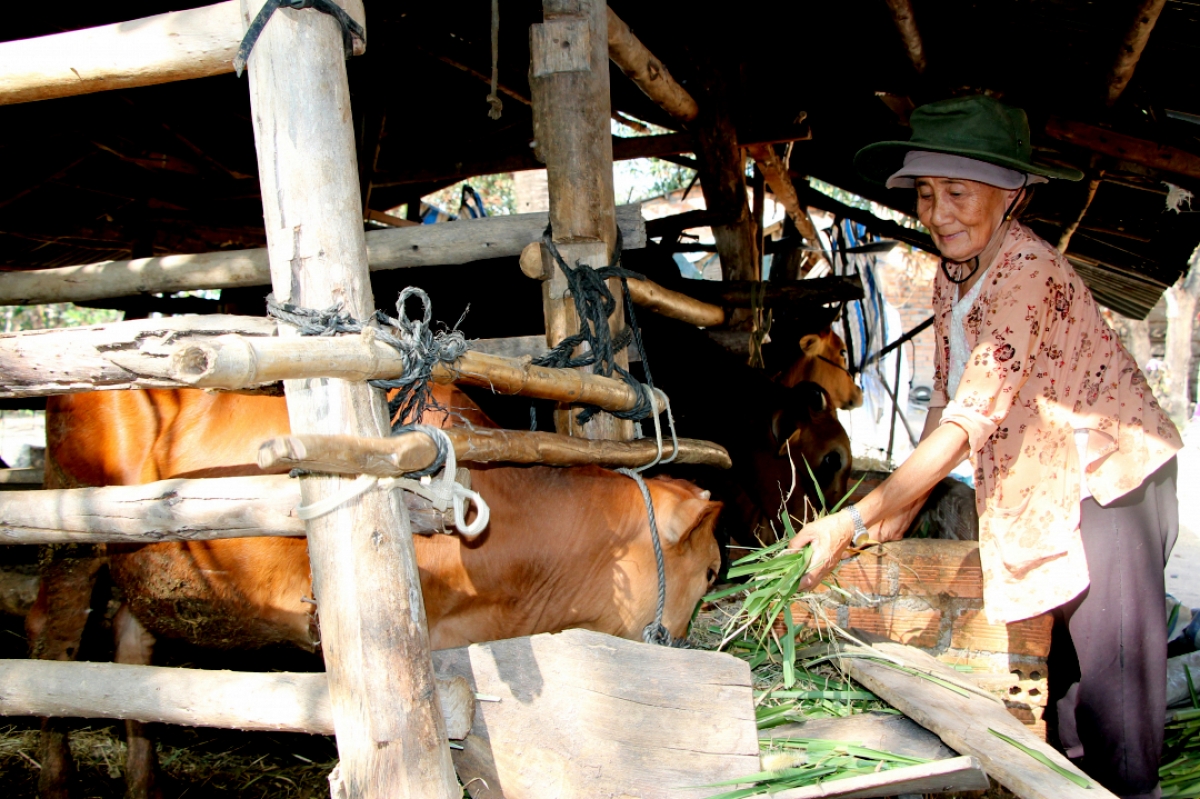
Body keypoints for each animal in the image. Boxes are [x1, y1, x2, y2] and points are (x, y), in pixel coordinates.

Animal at [28, 383, 720, 791]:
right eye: (712, 570)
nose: (687, 643)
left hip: (146, 566)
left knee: (131, 652)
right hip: (71, 528)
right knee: (55, 640)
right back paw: (55, 778)